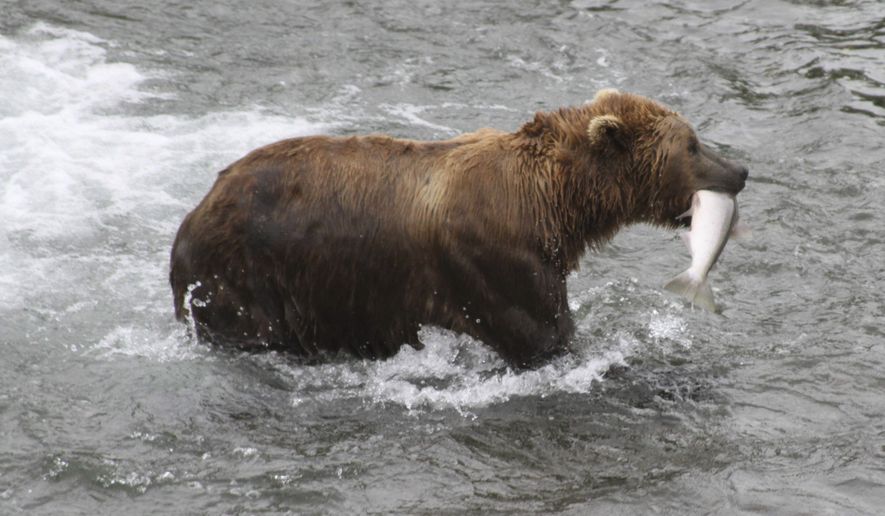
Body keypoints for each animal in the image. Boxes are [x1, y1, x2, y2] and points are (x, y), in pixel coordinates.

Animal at [169, 89, 748, 368]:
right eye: (692, 144)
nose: (740, 170)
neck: (555, 204)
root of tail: (193, 213)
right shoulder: (497, 262)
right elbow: (546, 337)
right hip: (243, 275)